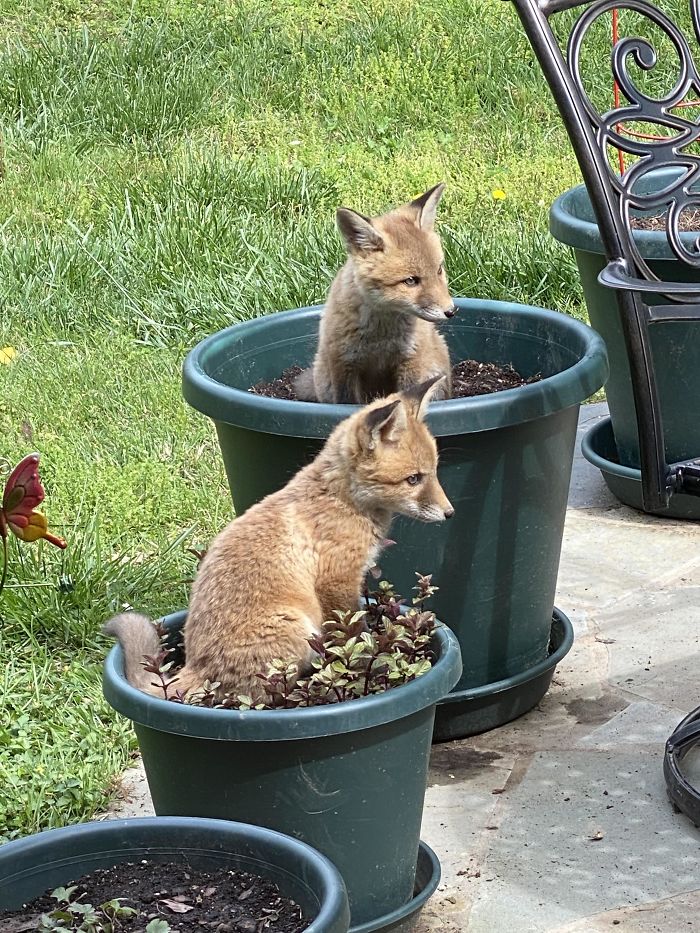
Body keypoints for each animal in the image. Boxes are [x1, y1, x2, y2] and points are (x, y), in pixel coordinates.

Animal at [104, 376, 453, 703]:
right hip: (295, 628)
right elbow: (352, 635)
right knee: (266, 695)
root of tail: (196, 667)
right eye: (413, 479)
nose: (450, 513)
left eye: (434, 472)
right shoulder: (336, 582)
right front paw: (364, 665)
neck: (341, 501)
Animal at [294, 183, 455, 405]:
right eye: (411, 280)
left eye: (439, 270)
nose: (451, 311)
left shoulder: (411, 360)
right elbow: (347, 403)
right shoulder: (344, 364)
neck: (382, 336)